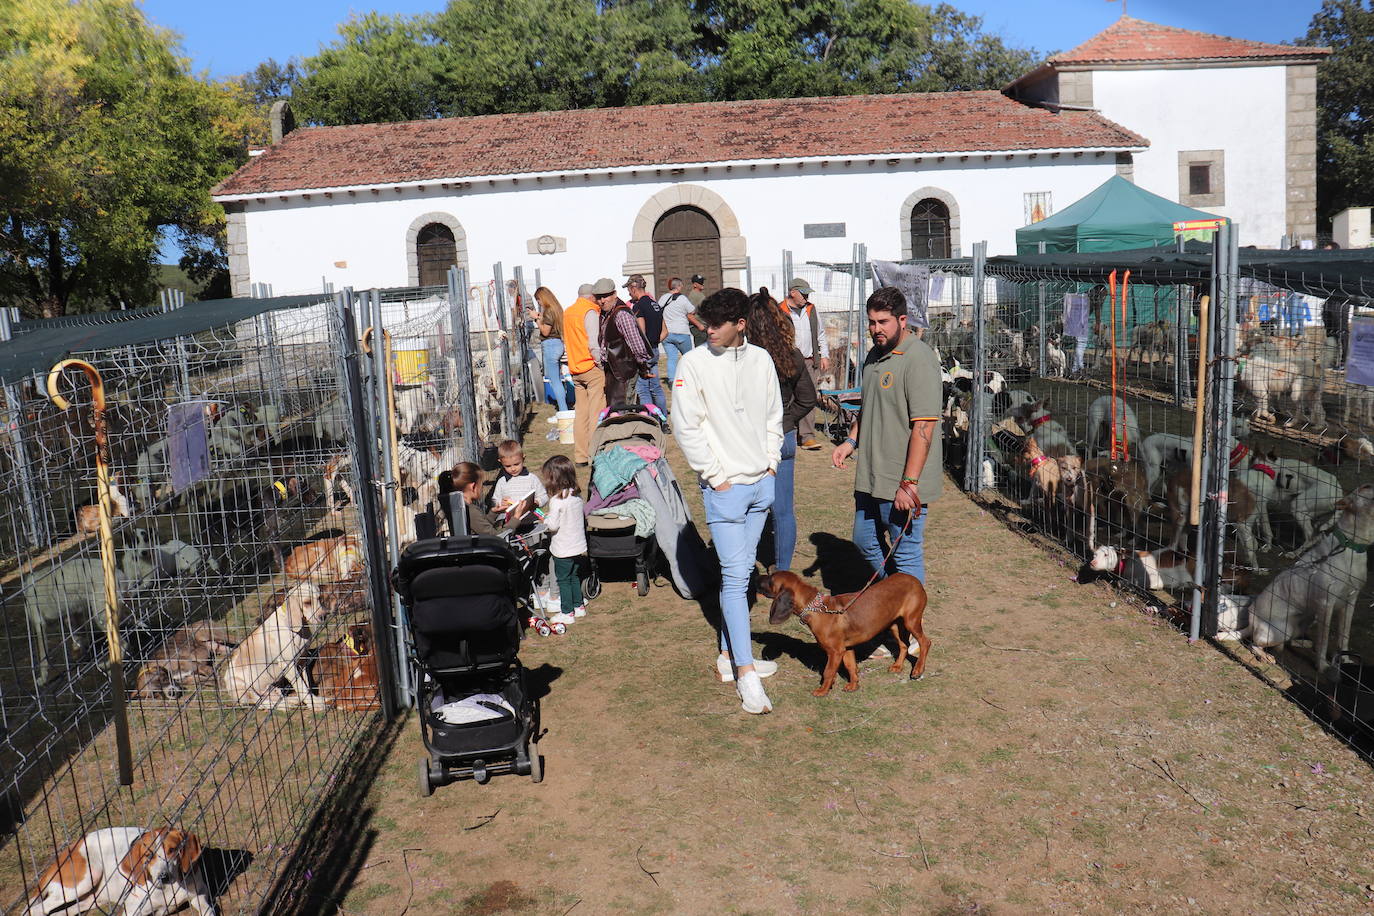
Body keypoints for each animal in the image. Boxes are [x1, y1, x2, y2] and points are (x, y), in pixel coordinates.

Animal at [22, 829, 217, 911]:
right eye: (148, 855)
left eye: (172, 850)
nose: (164, 877)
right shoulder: (133, 910)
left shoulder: (200, 895)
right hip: (86, 878)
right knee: (39, 910)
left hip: (91, 898)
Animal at [222, 585, 327, 714]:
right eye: (307, 602)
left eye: (320, 598)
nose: (323, 616)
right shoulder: (288, 666)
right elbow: (301, 687)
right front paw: (315, 704)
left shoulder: (302, 661)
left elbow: (306, 686)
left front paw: (314, 700)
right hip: (241, 686)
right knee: (262, 704)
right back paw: (286, 706)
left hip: (272, 687)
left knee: (274, 698)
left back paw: (293, 701)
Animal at [763, 574, 934, 694]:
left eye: (771, 579)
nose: (758, 579)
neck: (817, 608)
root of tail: (915, 580)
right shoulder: (847, 648)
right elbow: (852, 667)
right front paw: (853, 685)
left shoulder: (835, 651)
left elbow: (828, 671)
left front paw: (823, 690)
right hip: (894, 624)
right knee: (904, 645)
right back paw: (897, 666)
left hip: (911, 621)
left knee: (925, 642)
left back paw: (918, 670)